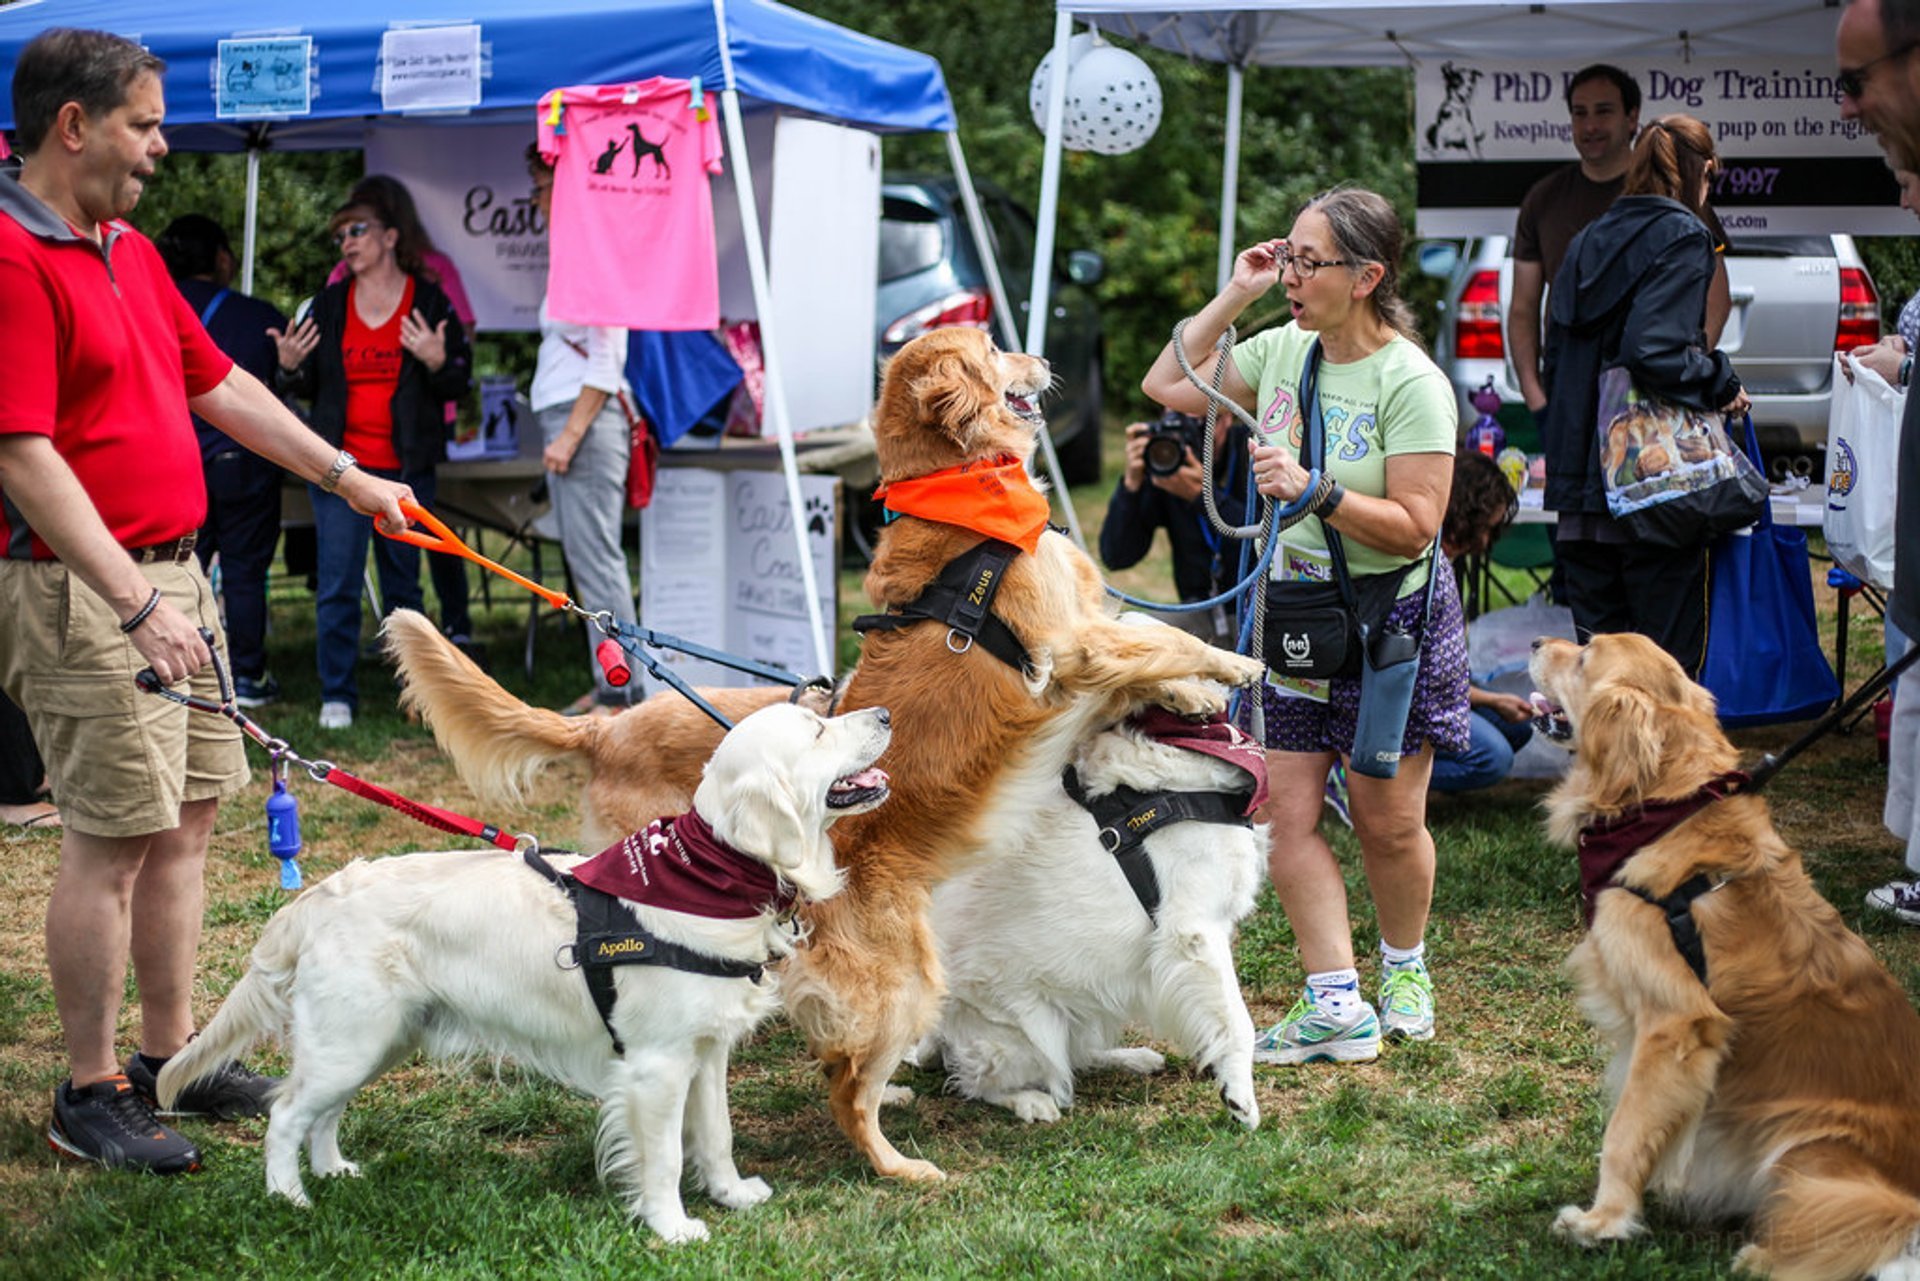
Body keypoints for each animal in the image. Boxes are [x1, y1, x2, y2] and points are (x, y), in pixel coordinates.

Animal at [157, 702, 890, 1244]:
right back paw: (290, 1197)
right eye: (818, 729)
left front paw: (733, 1193)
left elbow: (716, 1135)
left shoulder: (706, 1052)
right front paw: (672, 1226)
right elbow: (664, 1156)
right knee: (285, 1114)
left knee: (322, 1113)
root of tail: (319, 895)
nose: (884, 712)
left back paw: (334, 1171)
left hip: (374, 1040)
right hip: (350, 1040)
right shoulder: (656, 1066)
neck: (706, 873)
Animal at [917, 710, 1274, 1129]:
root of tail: (939, 1032)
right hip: (1028, 1033)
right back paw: (1030, 1101)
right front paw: (1240, 1098)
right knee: (978, 1082)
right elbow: (1237, 1020)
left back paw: (1132, 1058)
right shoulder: (1196, 930)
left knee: (1077, 1056)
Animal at [1528, 637, 1920, 1275]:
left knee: (1869, 1227)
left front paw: (1602, 1221)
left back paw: (1763, 1257)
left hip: (1807, 1149)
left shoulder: (1674, 1023)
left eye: (1584, 655)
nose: (1538, 642)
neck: (1660, 806)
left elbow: (1623, 1132)